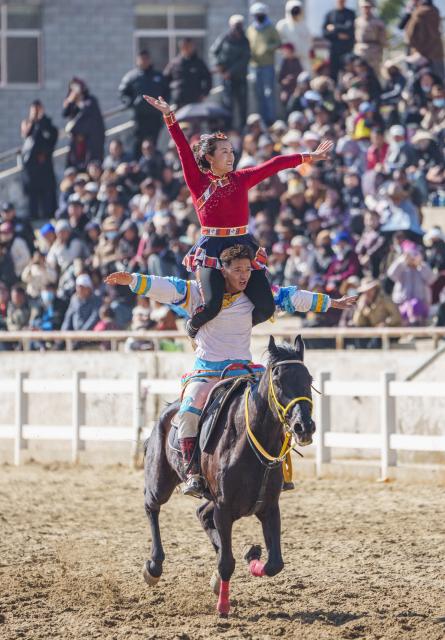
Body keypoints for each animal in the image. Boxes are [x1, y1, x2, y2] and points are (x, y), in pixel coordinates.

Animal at [142, 335, 316, 617]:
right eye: (278, 380)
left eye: (308, 379)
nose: (304, 426)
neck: (248, 439)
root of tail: (167, 412)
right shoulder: (223, 508)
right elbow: (227, 563)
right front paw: (223, 607)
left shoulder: (269, 507)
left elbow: (274, 564)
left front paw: (251, 555)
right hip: (160, 481)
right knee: (152, 507)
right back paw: (154, 566)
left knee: (202, 514)